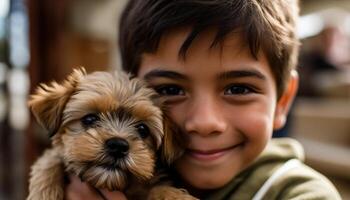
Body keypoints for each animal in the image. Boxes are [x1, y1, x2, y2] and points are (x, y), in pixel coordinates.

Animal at [26, 68, 197, 199]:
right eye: (89, 119)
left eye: (143, 129)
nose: (118, 146)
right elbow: (50, 161)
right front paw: (44, 193)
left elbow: (159, 188)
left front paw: (176, 196)